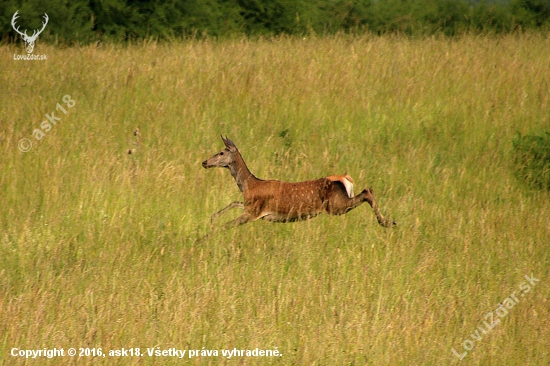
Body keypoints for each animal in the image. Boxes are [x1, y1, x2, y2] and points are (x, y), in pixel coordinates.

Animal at [203, 136, 396, 230]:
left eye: (221, 152)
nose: (205, 162)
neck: (249, 184)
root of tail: (345, 178)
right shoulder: (249, 206)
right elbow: (233, 204)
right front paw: (212, 219)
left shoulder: (253, 212)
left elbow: (227, 225)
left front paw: (205, 237)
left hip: (336, 205)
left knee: (367, 191)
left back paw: (386, 222)